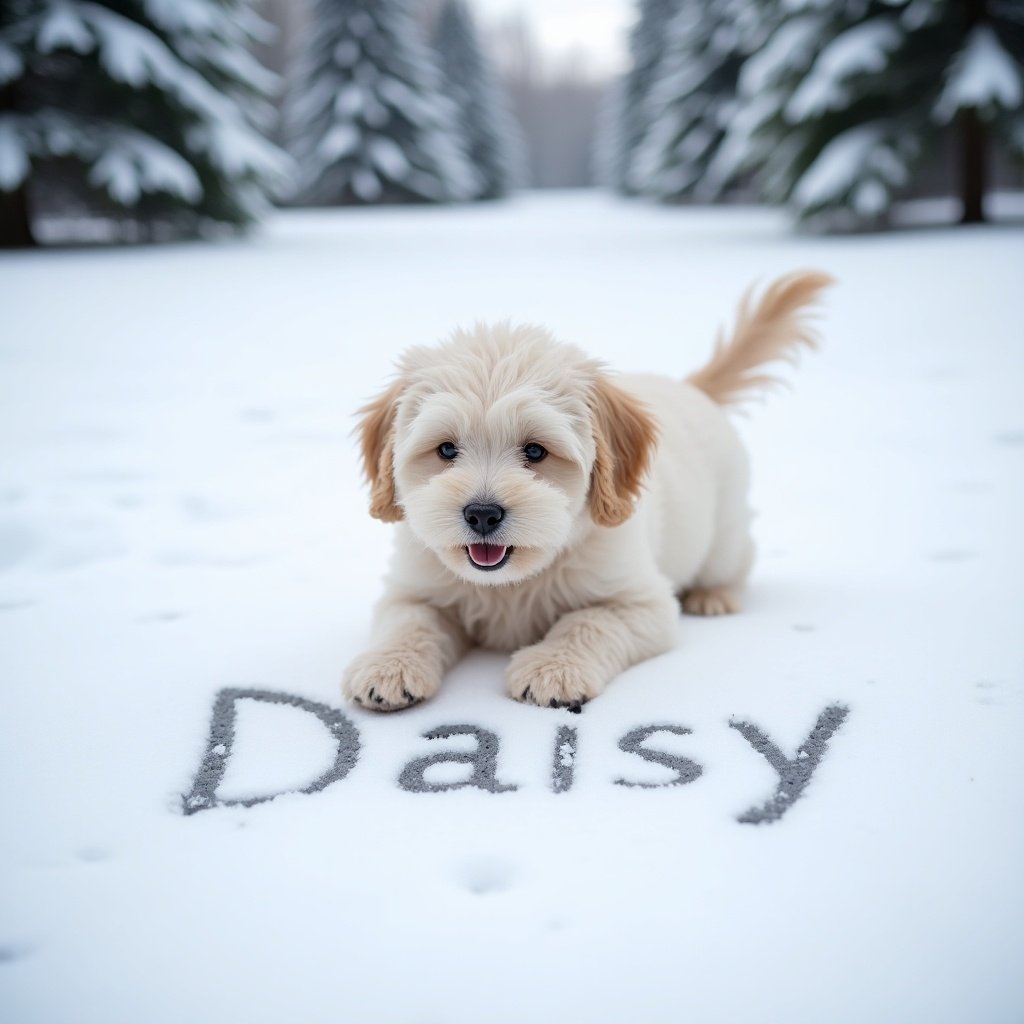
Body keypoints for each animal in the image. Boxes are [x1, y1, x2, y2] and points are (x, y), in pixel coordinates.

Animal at [344, 268, 831, 708]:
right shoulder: (413, 589)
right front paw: (388, 666)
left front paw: (552, 668)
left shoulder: (640, 602)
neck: (510, 584)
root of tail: (688, 387)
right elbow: (410, 623)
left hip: (724, 533)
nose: (482, 513)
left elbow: (588, 623)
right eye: (446, 449)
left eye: (536, 451)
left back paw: (714, 595)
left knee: (736, 559)